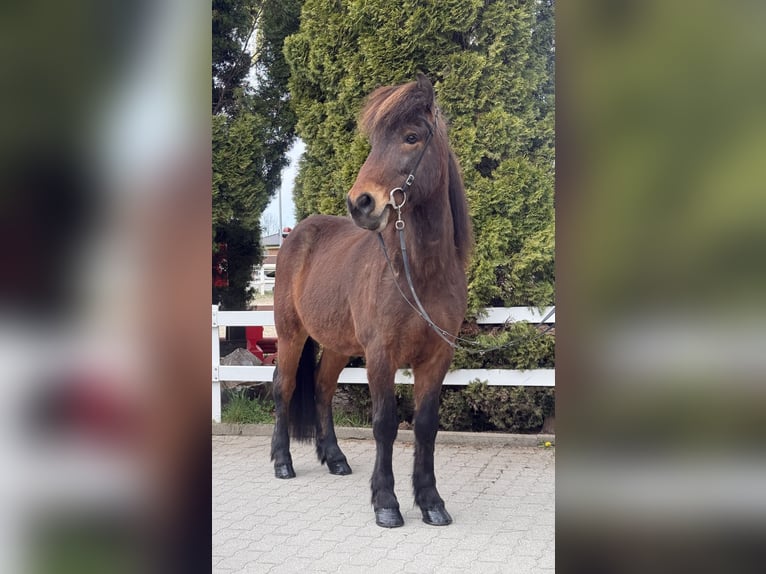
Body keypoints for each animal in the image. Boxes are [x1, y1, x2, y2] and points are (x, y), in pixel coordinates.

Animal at [270, 73, 473, 528]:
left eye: (411, 137)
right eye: (375, 141)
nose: (360, 203)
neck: (419, 275)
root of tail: (296, 235)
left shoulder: (437, 357)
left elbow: (426, 426)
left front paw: (431, 502)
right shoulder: (381, 355)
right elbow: (384, 424)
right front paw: (386, 503)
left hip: (337, 346)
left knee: (323, 389)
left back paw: (335, 458)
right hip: (291, 335)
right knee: (284, 388)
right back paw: (282, 462)